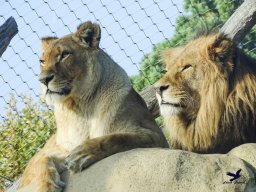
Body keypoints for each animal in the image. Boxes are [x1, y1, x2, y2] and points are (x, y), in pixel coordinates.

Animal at [19, 21, 168, 190]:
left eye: (64, 55)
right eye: (42, 61)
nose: (43, 80)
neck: (78, 107)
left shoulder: (155, 134)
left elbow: (116, 138)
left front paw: (82, 154)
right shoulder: (53, 150)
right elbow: (39, 162)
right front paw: (47, 186)